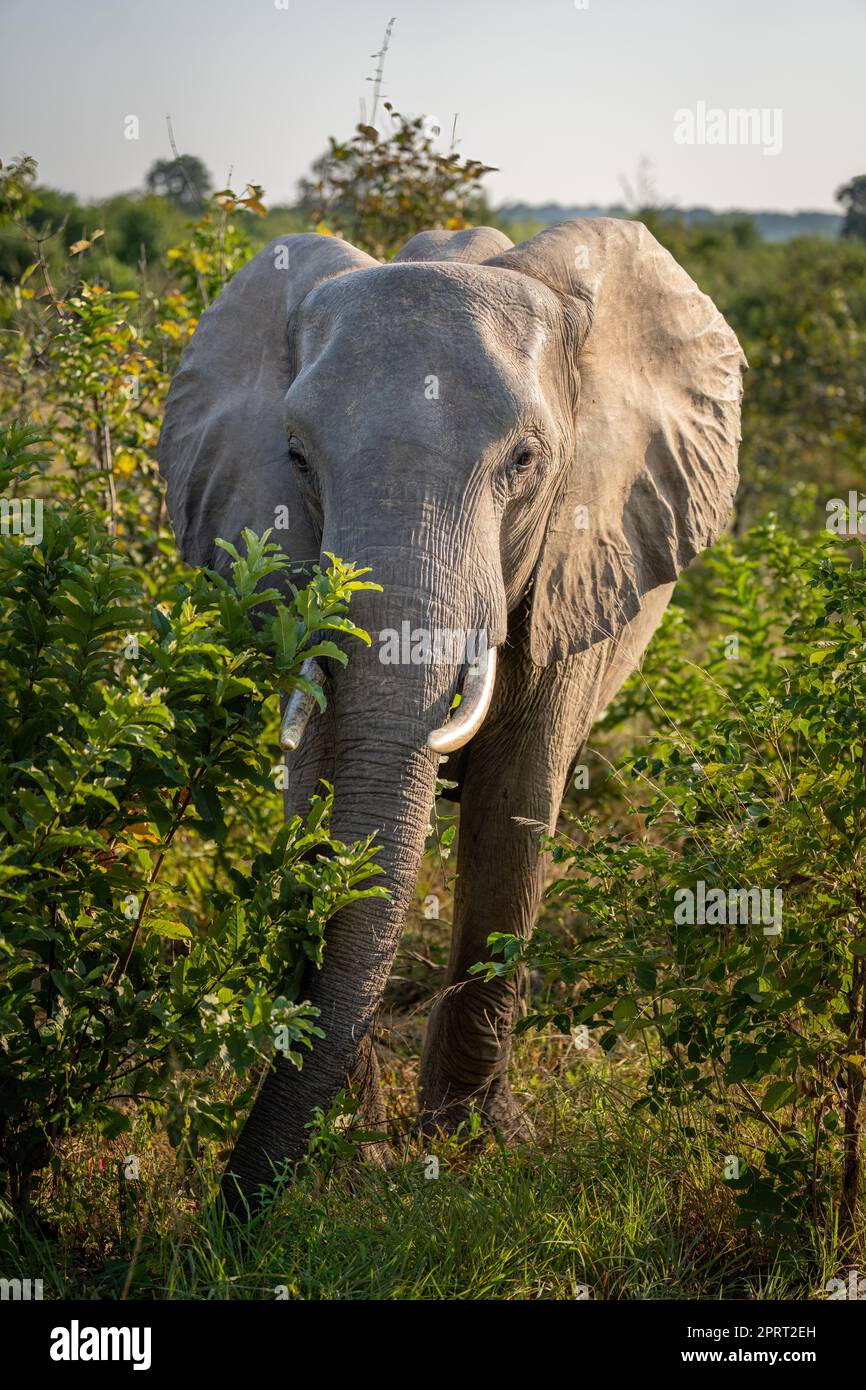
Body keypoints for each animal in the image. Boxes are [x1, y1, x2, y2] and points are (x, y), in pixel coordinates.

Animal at [158, 217, 746, 1205]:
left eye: (525, 462)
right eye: (296, 458)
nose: (229, 1207)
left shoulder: (575, 567)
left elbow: (514, 814)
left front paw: (478, 1149)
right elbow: (318, 795)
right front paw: (349, 1161)